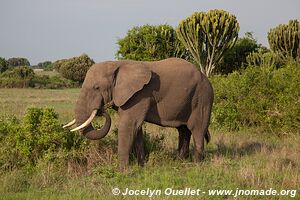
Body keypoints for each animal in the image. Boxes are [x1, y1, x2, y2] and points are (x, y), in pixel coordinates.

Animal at [63, 57, 213, 170]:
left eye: (96, 87)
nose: (101, 110)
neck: (118, 64)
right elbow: (136, 128)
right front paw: (141, 167)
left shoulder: (140, 94)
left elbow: (129, 125)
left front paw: (123, 172)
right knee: (183, 130)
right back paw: (180, 161)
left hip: (202, 98)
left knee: (197, 129)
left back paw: (196, 165)